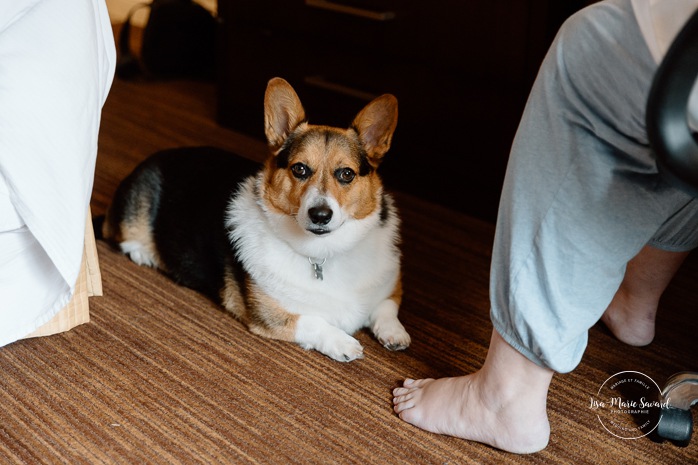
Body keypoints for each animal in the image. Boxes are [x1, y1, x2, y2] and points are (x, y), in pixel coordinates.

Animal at [100, 76, 410, 360]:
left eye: (346, 174)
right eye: (299, 169)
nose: (320, 215)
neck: (323, 254)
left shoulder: (390, 289)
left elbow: (386, 308)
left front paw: (396, 334)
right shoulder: (269, 314)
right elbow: (312, 321)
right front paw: (343, 342)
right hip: (133, 213)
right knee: (118, 234)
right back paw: (142, 252)